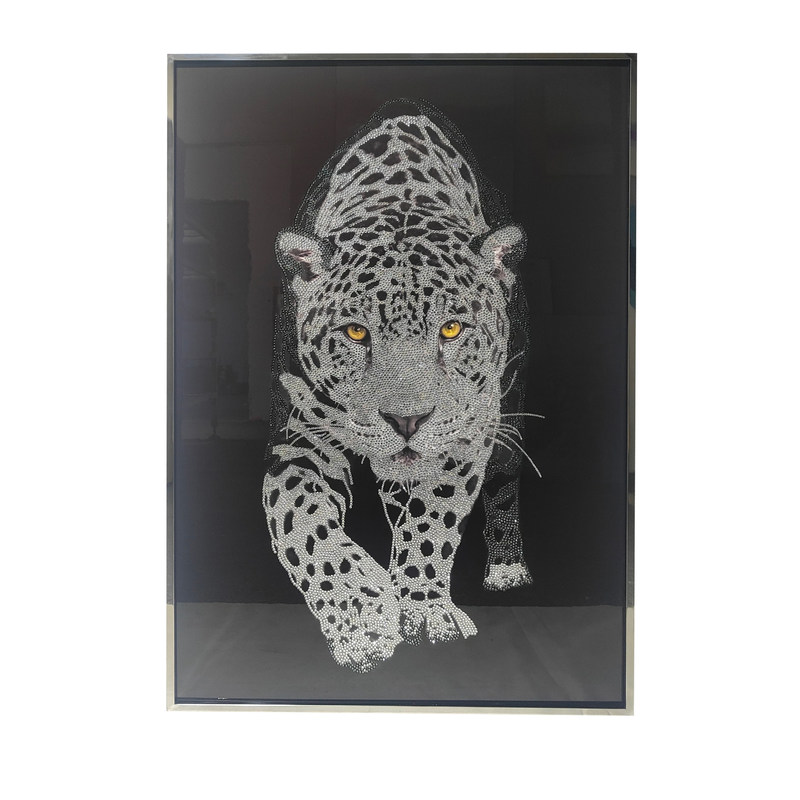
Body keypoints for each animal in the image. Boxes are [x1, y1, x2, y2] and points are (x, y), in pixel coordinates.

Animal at [262, 99, 537, 672]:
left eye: (451, 329)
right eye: (355, 332)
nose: (407, 421)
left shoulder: (465, 431)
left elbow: (432, 522)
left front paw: (423, 608)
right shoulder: (301, 440)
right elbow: (303, 523)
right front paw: (363, 616)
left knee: (502, 483)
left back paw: (505, 567)